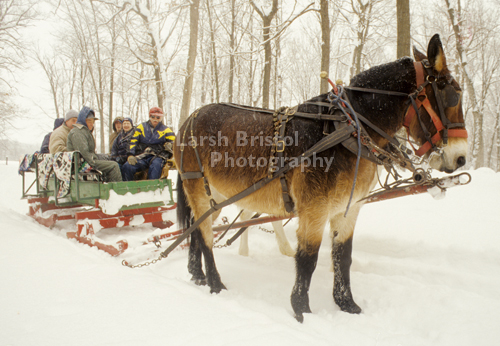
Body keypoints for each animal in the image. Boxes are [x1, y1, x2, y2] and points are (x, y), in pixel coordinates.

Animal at [174, 35, 466, 322]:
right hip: (198, 187)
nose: (461, 157)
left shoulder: (349, 207)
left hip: (216, 196)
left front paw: (347, 304)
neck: (347, 131)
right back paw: (215, 283)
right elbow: (308, 258)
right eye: (452, 97)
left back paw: (197, 274)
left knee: (197, 230)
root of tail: (186, 122)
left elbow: (342, 256)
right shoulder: (314, 208)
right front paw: (302, 308)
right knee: (205, 235)